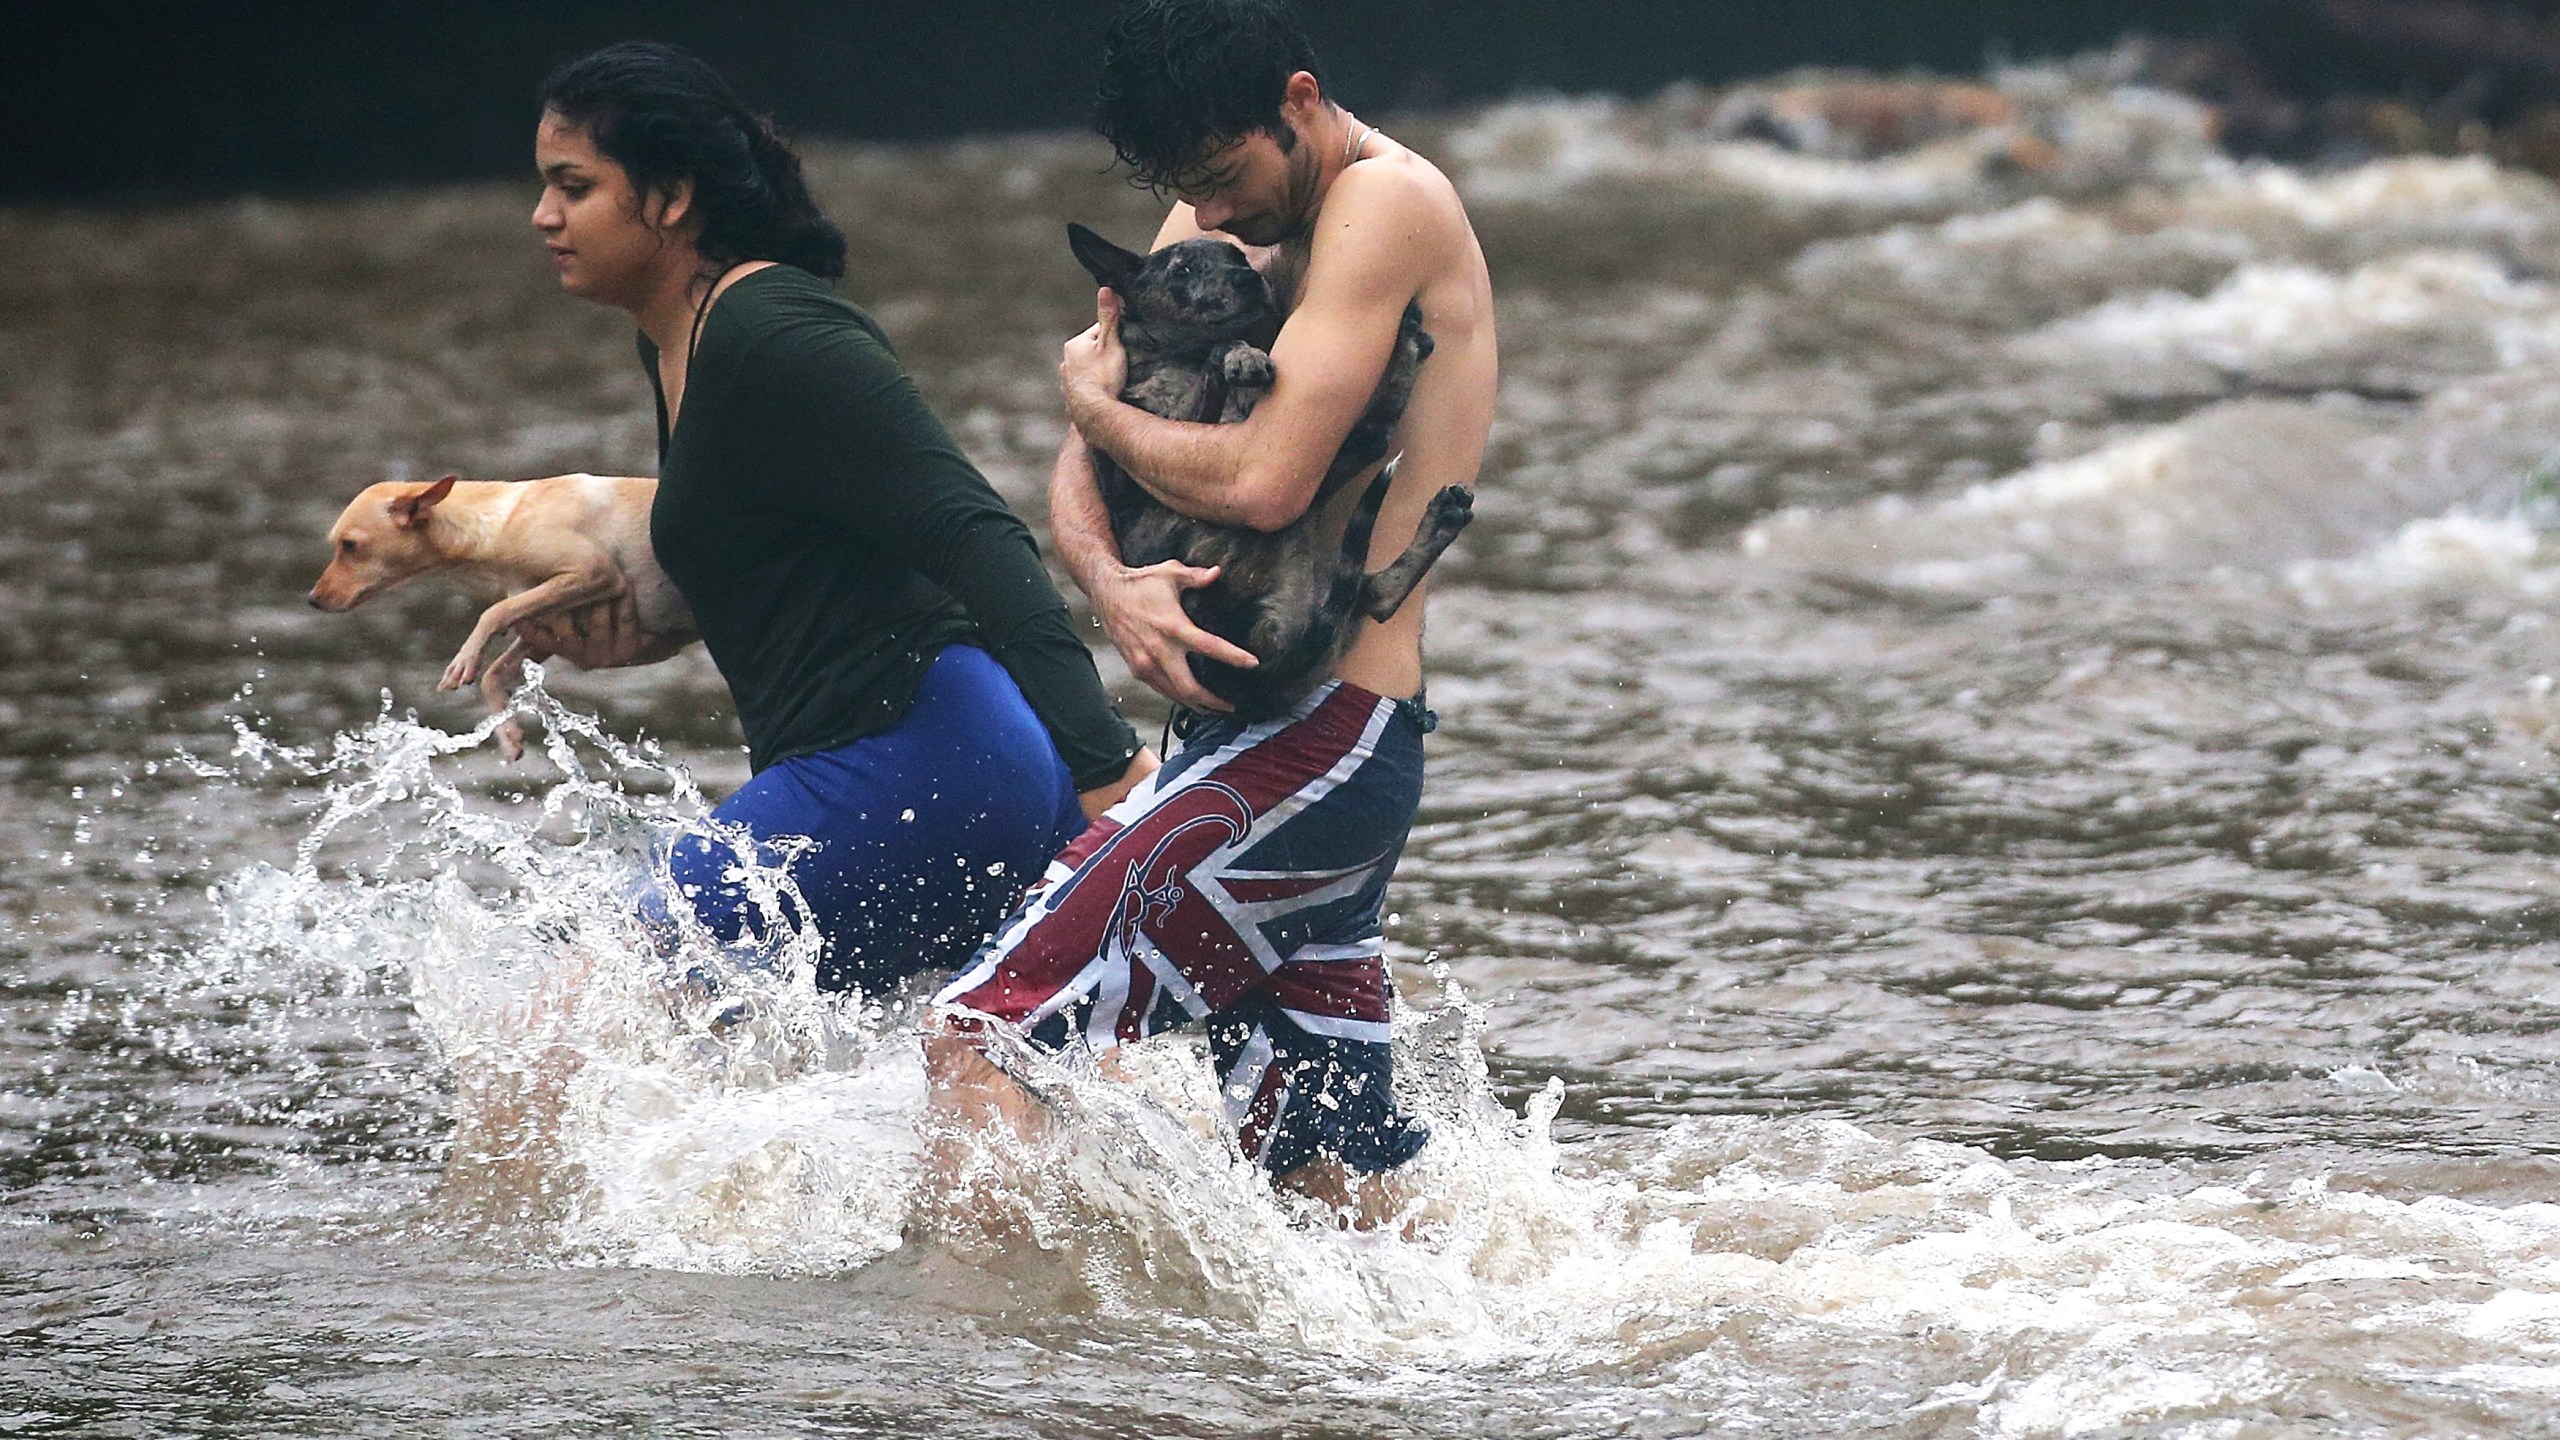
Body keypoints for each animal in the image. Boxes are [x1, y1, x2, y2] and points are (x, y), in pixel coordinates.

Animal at [309, 474, 701, 763]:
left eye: (350, 545)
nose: (312, 599)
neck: (499, 521)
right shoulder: (549, 626)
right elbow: (494, 672)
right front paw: (508, 734)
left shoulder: (592, 573)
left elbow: (492, 613)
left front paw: (463, 660)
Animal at [1064, 222, 1474, 717]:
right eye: (1182, 270)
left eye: (1238, 257)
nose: (1249, 280)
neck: (1171, 356)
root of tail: (1253, 676)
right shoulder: (1174, 432)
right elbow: (1221, 351)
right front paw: (1240, 356)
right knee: (1371, 447)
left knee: (1374, 591)